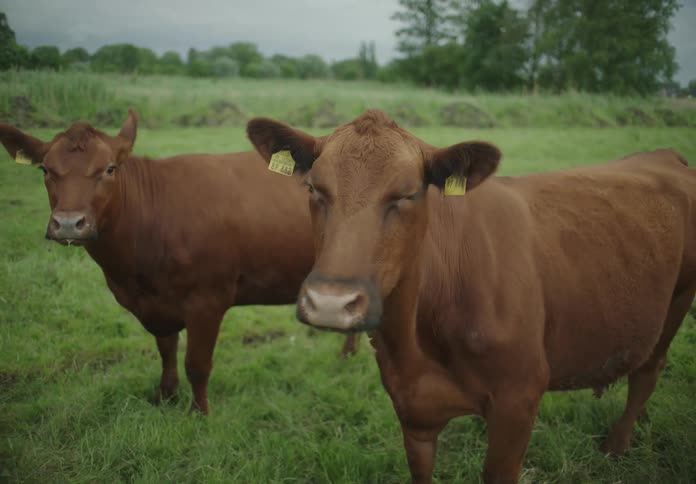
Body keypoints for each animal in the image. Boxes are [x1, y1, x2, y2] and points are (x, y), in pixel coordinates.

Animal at [0, 109, 359, 415]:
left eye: (108, 169)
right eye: (45, 170)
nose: (68, 223)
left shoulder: (208, 300)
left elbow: (196, 365)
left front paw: (199, 413)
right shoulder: (156, 304)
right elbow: (166, 349)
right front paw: (166, 396)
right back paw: (348, 356)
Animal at [246, 109, 696, 483]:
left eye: (406, 194)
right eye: (313, 188)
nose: (330, 304)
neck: (418, 342)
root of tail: (664, 156)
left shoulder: (518, 401)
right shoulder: (413, 410)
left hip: (678, 298)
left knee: (648, 370)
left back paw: (616, 446)